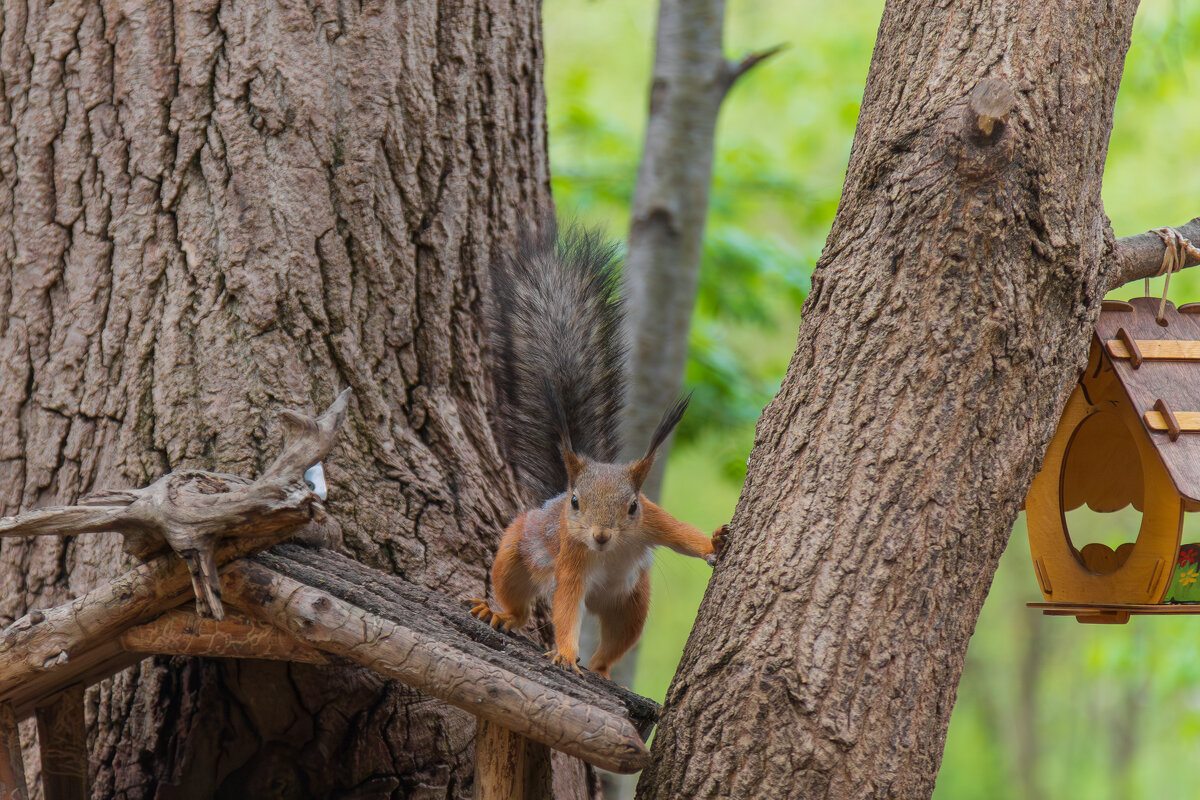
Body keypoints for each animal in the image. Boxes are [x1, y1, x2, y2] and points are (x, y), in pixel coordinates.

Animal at [472, 221, 724, 681]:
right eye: (576, 503)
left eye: (631, 506)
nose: (601, 535)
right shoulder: (572, 556)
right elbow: (566, 605)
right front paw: (564, 653)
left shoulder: (653, 520)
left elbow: (684, 536)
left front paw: (714, 539)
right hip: (516, 552)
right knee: (522, 602)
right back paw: (501, 614)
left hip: (631, 604)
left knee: (614, 644)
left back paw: (602, 670)